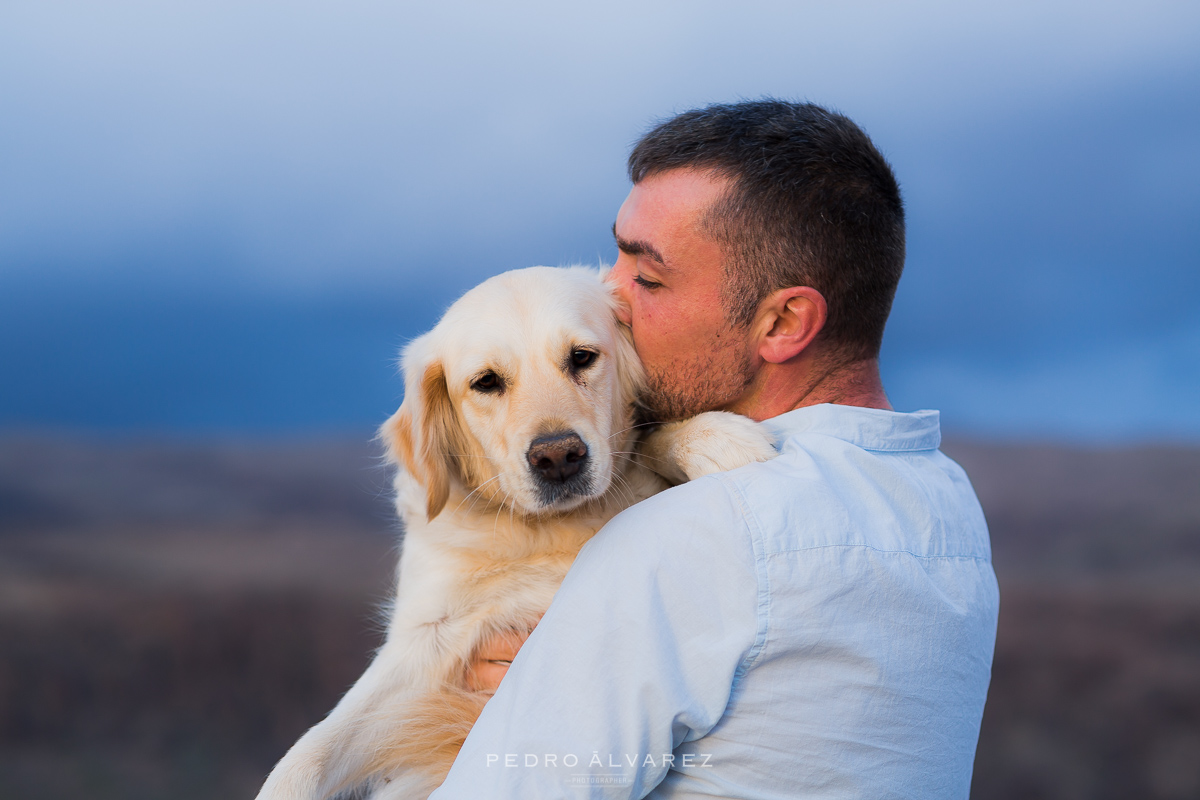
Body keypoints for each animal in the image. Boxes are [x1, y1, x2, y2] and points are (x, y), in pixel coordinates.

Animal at [256, 266, 772, 796]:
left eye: (581, 357)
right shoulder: (428, 640)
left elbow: (654, 442)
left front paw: (714, 438)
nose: (558, 456)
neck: (547, 531)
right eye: (486, 382)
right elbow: (308, 755)